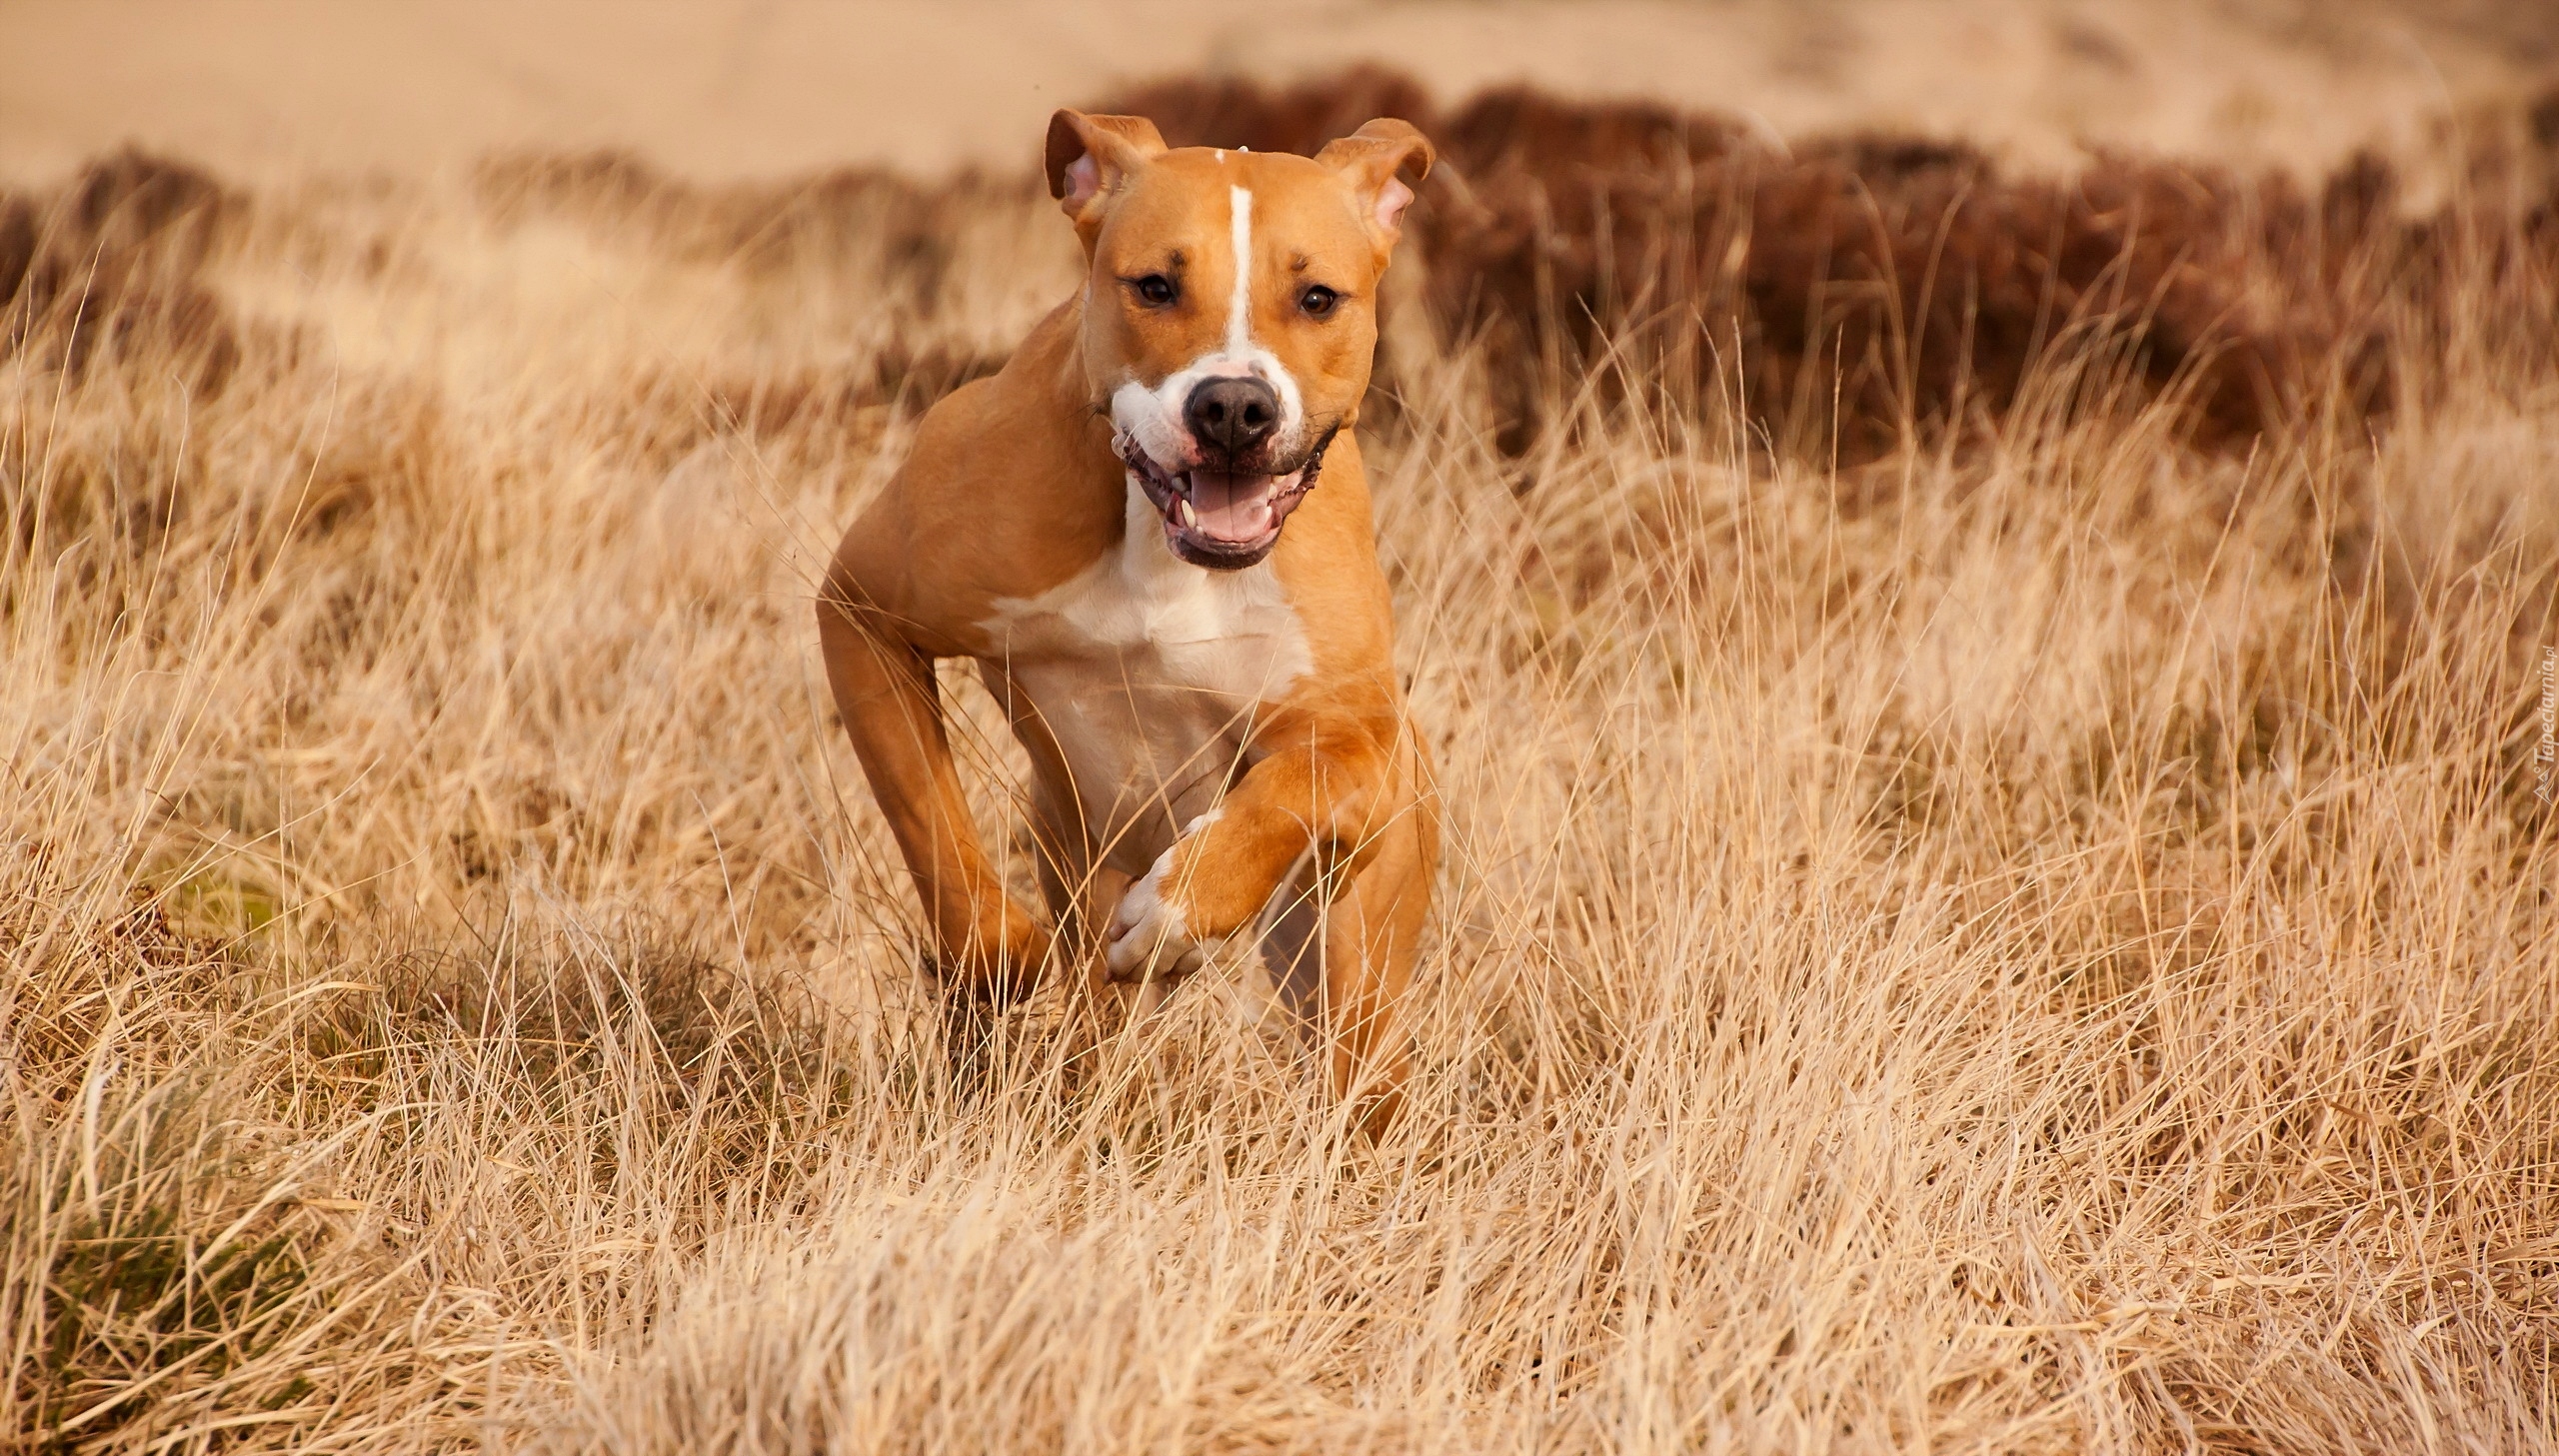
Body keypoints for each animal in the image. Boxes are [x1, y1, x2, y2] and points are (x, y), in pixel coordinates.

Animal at [829, 108, 1453, 1130]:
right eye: (1155, 285)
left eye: (1319, 297)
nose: (1234, 405)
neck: (1167, 551)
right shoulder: (862, 609)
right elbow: (932, 821)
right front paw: (1001, 954)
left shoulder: (1360, 730)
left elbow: (1294, 790)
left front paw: (1176, 915)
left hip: (1353, 963)